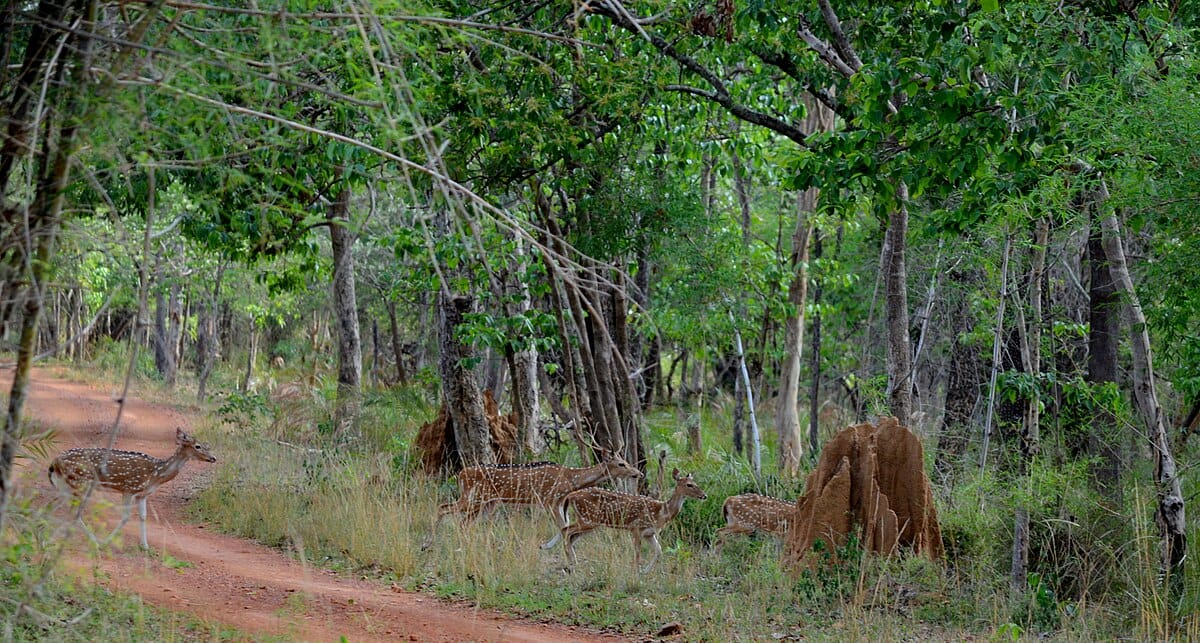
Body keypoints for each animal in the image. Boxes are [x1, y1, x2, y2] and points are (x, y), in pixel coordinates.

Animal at [48, 427, 217, 549]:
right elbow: (126, 517)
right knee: (75, 512)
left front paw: (145, 546)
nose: (213, 458)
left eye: (207, 445)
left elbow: (143, 516)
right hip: (81, 483)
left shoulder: (143, 494)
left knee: (55, 505)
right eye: (197, 446)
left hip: (67, 486)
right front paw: (107, 542)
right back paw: (95, 542)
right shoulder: (129, 488)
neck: (156, 474)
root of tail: (55, 461)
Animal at [428, 447, 642, 550]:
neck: (570, 479)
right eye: (621, 463)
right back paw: (427, 544)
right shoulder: (549, 499)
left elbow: (564, 525)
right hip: (474, 498)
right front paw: (548, 547)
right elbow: (562, 526)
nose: (638, 473)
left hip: (487, 503)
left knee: (463, 522)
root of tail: (461, 474)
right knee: (443, 507)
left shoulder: (560, 501)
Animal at [557, 468, 707, 573]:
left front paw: (645, 571)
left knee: (571, 536)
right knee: (565, 530)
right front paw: (636, 573)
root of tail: (570, 496)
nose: (704, 495)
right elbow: (638, 554)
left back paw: (574, 563)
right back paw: (570, 564)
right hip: (588, 519)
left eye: (696, 483)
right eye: (689, 485)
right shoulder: (636, 528)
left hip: (589, 522)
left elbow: (659, 551)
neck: (661, 513)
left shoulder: (649, 533)